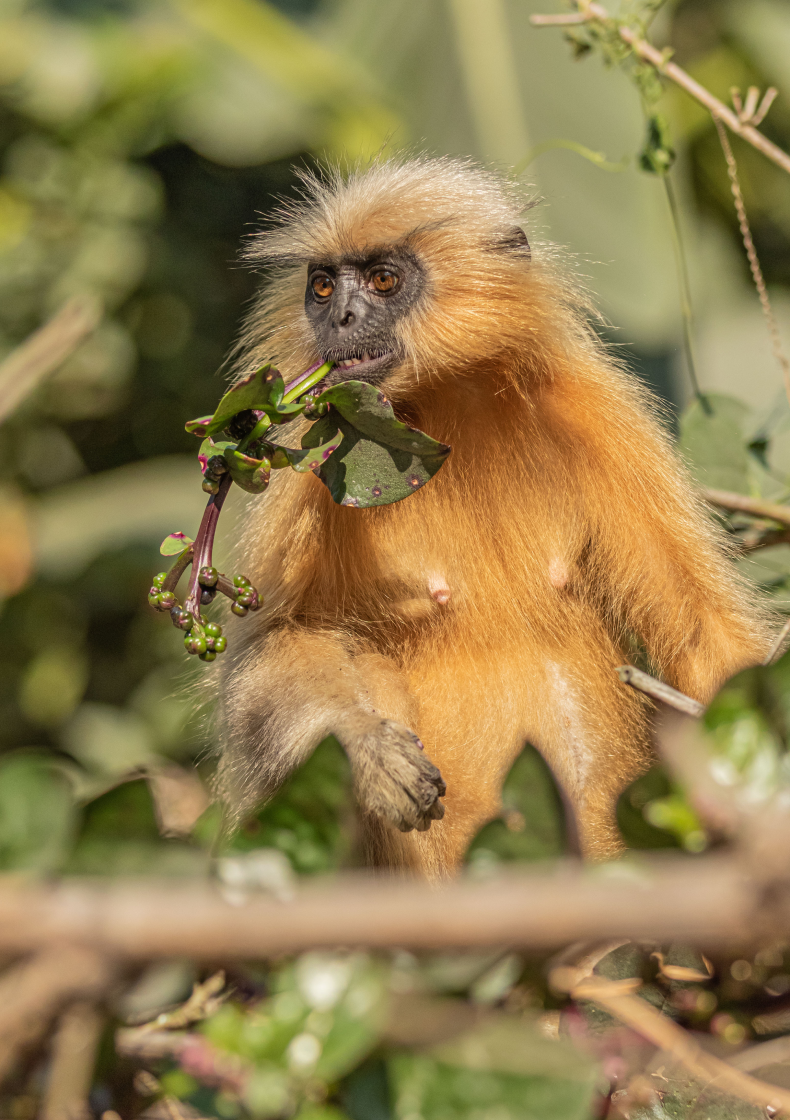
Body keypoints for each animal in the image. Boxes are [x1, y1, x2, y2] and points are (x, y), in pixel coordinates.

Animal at [214, 155, 771, 878]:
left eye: (384, 279)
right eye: (322, 285)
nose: (337, 317)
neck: (451, 405)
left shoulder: (598, 413)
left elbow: (704, 634)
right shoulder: (311, 450)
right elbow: (272, 647)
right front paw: (367, 748)